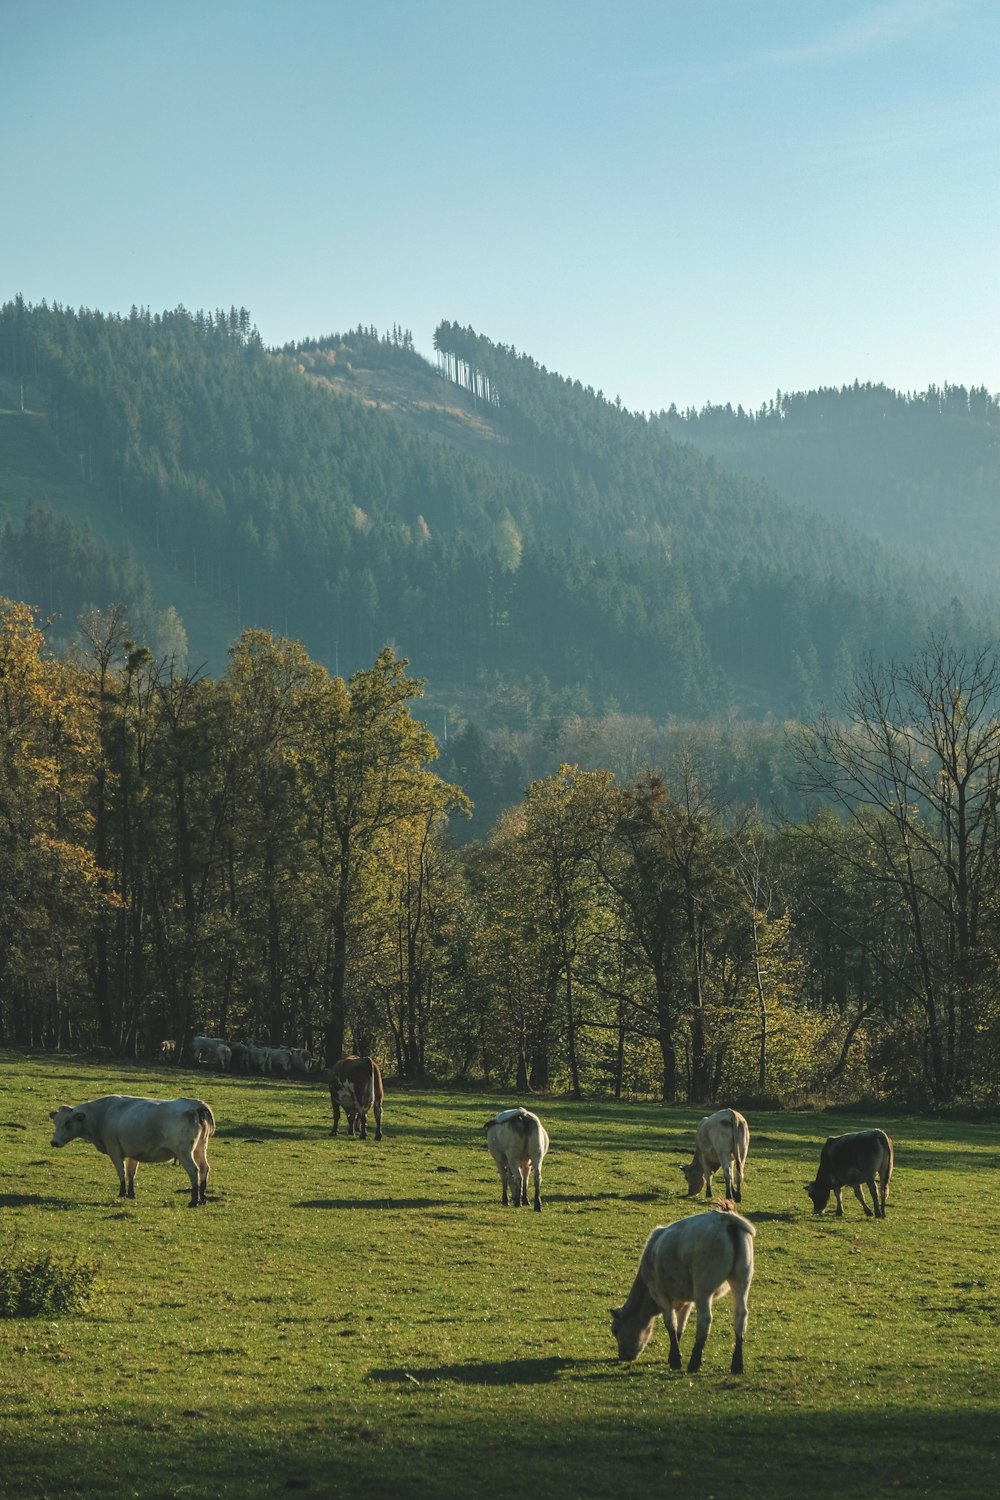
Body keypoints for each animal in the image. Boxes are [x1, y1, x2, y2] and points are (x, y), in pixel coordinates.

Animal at [49, 1092, 215, 1206]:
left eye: (68, 1123)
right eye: (56, 1122)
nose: (54, 1142)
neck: (103, 1113)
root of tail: (196, 1105)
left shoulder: (114, 1150)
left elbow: (121, 1172)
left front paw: (122, 1193)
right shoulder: (133, 1153)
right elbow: (131, 1173)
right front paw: (131, 1193)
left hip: (184, 1152)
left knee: (194, 1170)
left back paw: (194, 1201)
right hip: (200, 1149)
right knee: (204, 1168)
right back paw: (202, 1198)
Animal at [611, 1200, 758, 1374]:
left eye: (615, 1330)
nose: (623, 1356)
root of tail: (724, 1218)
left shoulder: (659, 1293)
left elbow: (671, 1323)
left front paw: (675, 1359)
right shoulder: (687, 1299)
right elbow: (681, 1324)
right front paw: (673, 1355)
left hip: (703, 1288)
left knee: (705, 1319)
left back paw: (694, 1363)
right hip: (742, 1279)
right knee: (741, 1315)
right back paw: (737, 1364)